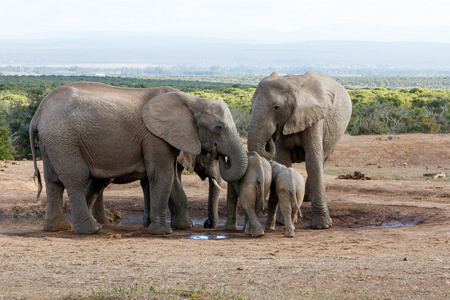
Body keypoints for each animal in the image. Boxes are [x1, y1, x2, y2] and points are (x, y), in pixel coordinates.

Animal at [29, 82, 248, 234]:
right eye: (218, 128)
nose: (208, 225)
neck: (191, 100)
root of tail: (37, 115)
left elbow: (170, 180)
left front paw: (184, 227)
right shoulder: (154, 136)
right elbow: (162, 175)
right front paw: (163, 232)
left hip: (53, 142)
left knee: (54, 182)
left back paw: (58, 228)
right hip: (64, 140)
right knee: (76, 179)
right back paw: (92, 229)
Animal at [246, 71, 352, 229]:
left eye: (276, 107)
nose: (272, 136)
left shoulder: (315, 118)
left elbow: (313, 162)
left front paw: (322, 226)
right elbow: (283, 161)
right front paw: (283, 221)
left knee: (321, 160)